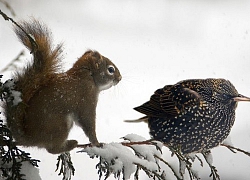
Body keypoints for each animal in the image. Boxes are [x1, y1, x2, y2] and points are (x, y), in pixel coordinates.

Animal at [3, 19, 121, 154]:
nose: (120, 78)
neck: (87, 76)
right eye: (110, 69)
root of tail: (30, 138)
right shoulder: (87, 98)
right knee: (52, 149)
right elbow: (88, 122)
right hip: (60, 125)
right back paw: (71, 144)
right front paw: (97, 143)